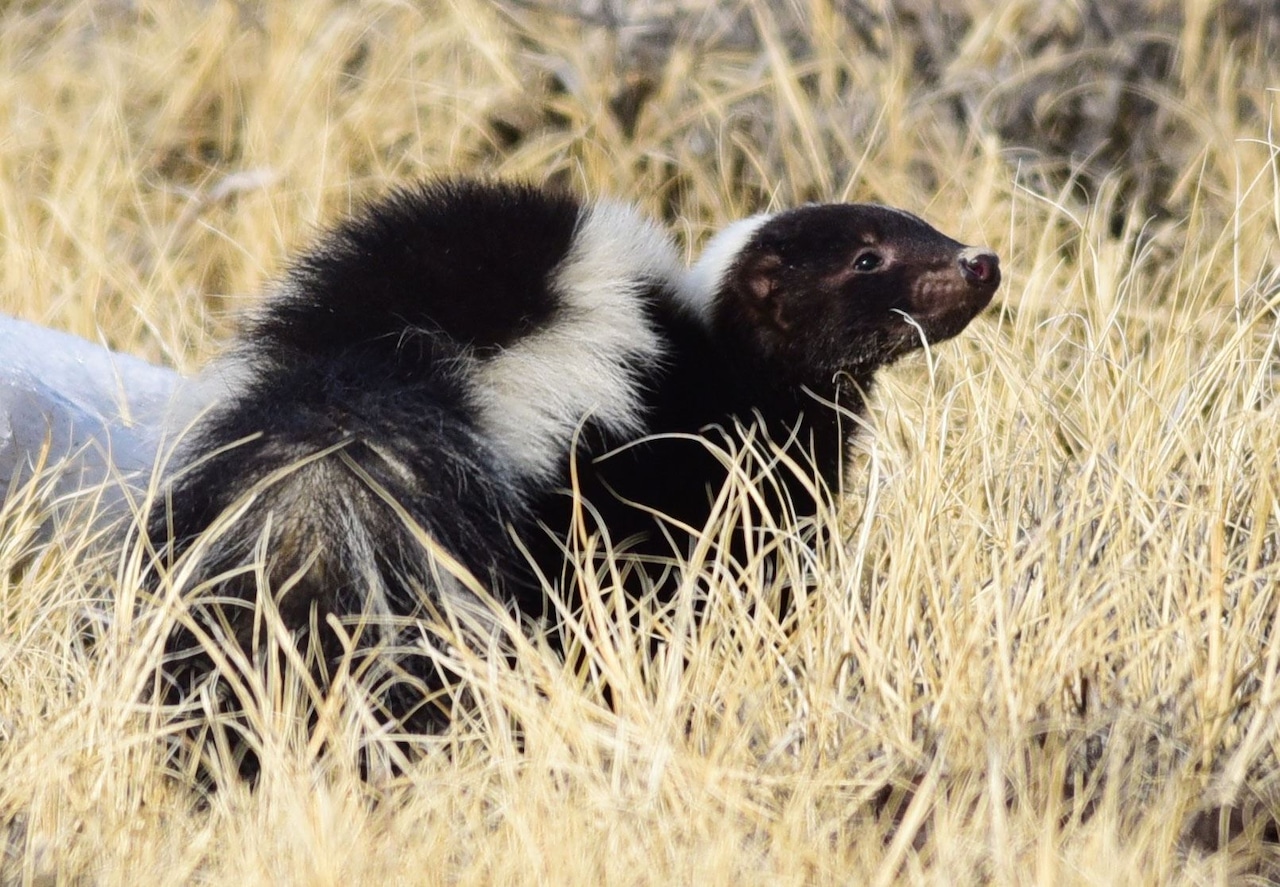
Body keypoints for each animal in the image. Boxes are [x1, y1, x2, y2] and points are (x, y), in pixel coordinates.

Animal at [145, 183, 993, 742]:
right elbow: (741, 569)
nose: (980, 261)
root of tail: (377, 360)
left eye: (921, 225)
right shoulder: (719, 465)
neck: (726, 353)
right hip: (556, 479)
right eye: (867, 259)